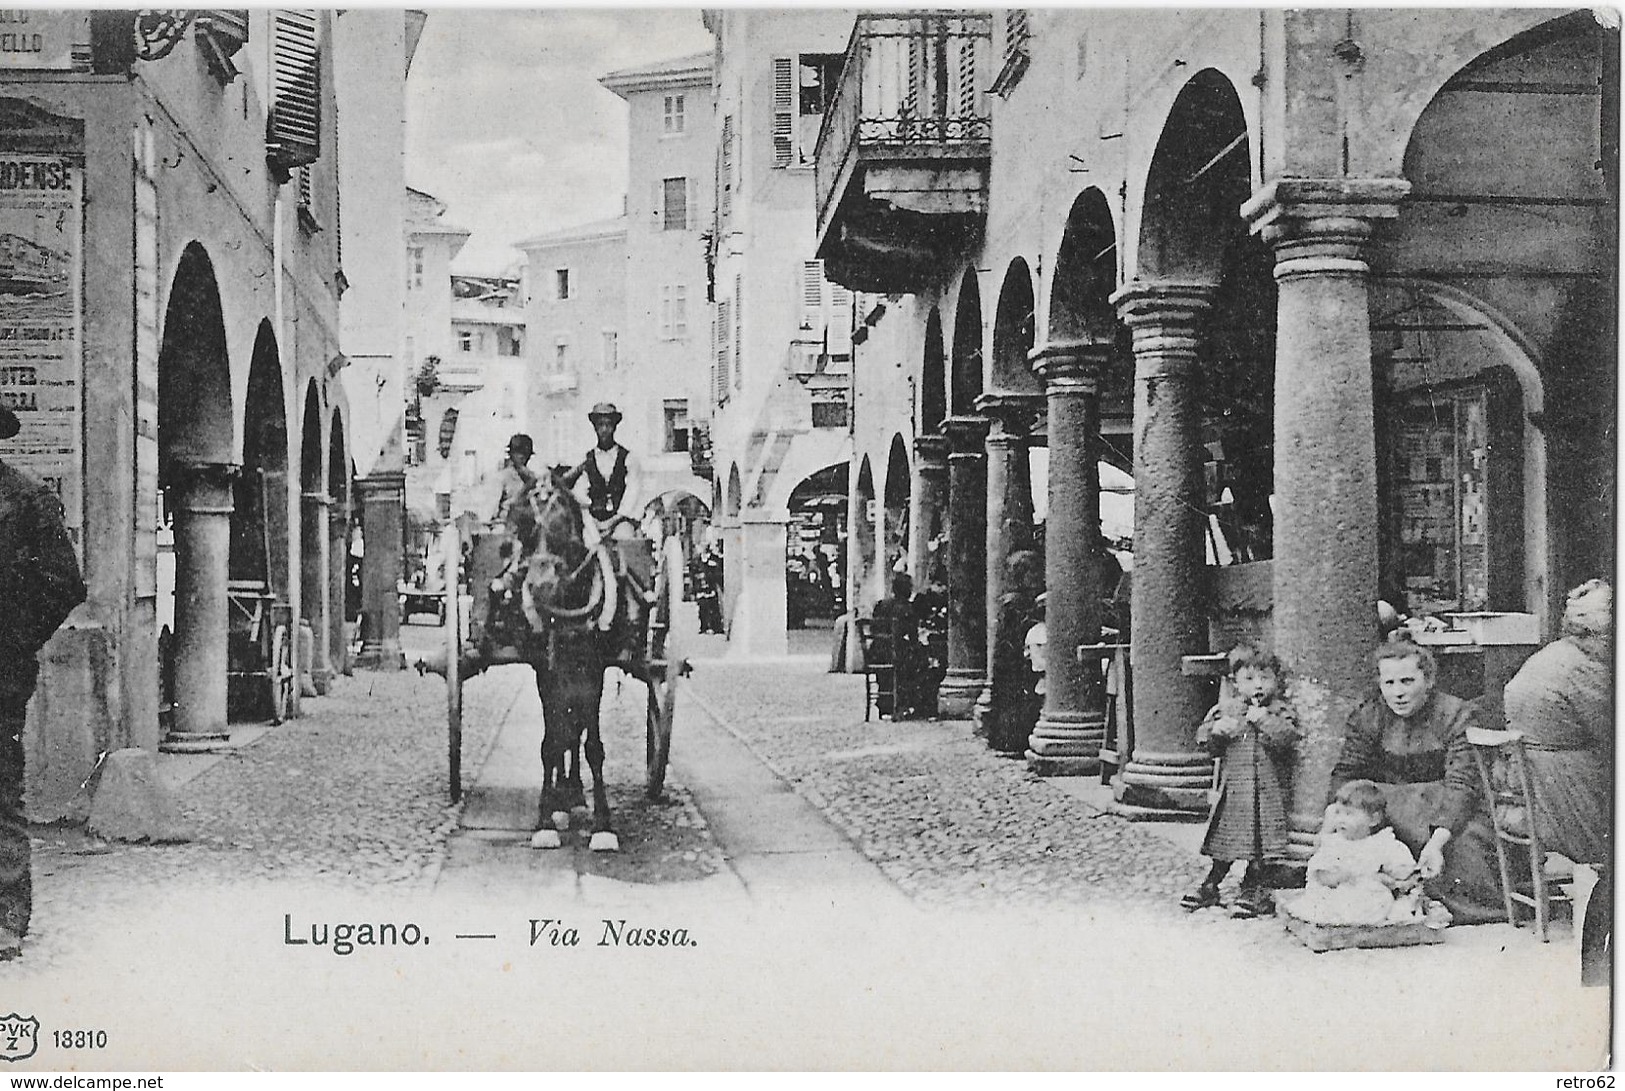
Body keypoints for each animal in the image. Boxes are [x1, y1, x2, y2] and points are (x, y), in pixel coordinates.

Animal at [419, 474, 685, 858]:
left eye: (566, 528)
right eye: (522, 527)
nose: (540, 586)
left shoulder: (593, 669)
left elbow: (591, 745)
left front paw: (602, 826)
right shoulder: (546, 669)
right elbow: (552, 740)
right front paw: (546, 820)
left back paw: (572, 793)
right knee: (562, 729)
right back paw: (563, 798)